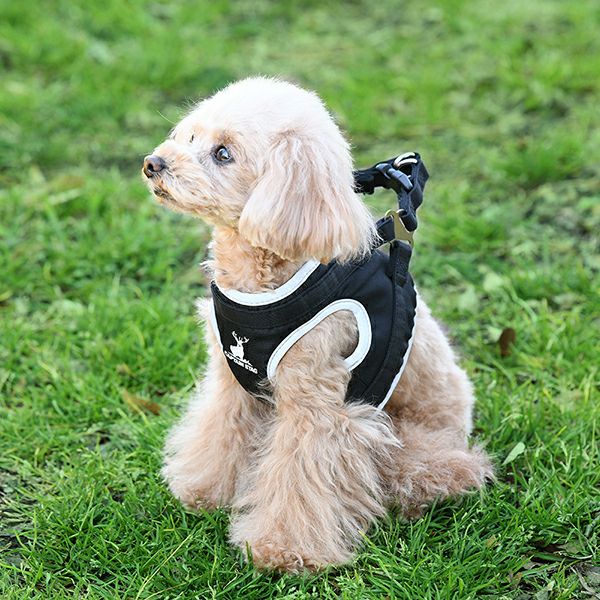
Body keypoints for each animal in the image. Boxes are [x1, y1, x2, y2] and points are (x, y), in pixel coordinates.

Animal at [142, 77, 493, 572]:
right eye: (191, 136)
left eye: (223, 153)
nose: (152, 163)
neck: (259, 280)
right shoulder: (232, 385)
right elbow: (221, 437)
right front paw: (205, 490)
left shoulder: (317, 401)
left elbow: (301, 474)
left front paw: (283, 550)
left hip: (404, 436)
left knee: (442, 470)